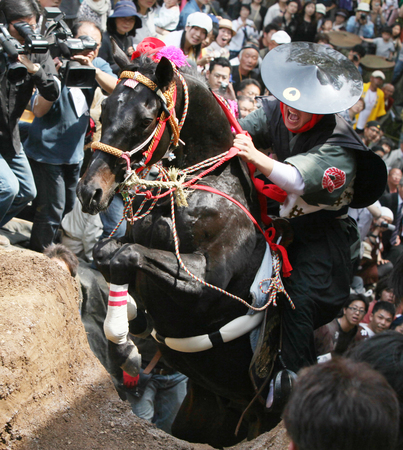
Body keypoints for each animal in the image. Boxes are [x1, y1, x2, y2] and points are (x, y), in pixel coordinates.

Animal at [77, 45, 282, 446]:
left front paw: (122, 340)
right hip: (199, 414)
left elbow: (126, 255)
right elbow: (108, 252)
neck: (194, 186)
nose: (90, 190)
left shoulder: (203, 282)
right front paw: (129, 323)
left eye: (144, 121)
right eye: (104, 110)